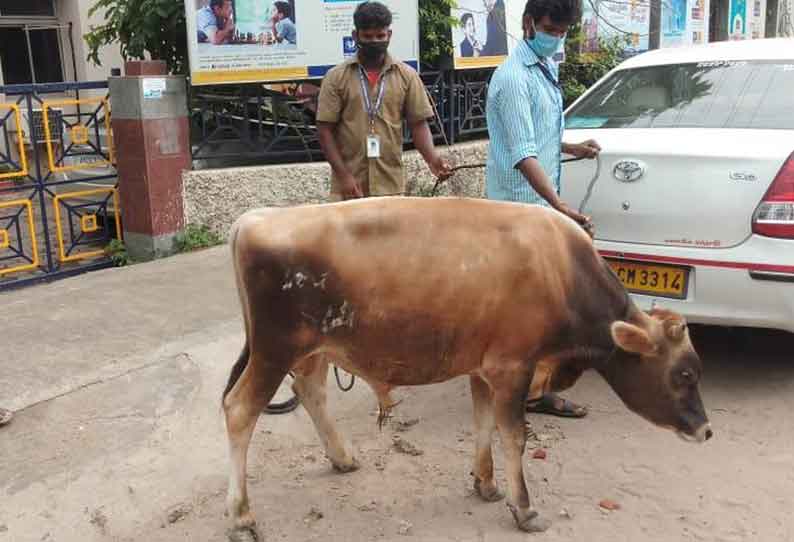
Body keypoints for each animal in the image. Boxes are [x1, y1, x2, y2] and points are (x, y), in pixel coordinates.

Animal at [220, 199, 708, 540]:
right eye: (684, 374)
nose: (705, 431)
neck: (560, 269)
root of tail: (254, 219)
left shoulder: (484, 367)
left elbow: (483, 423)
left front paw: (485, 483)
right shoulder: (514, 367)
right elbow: (514, 436)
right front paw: (524, 508)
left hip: (312, 350)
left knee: (310, 391)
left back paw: (342, 458)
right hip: (274, 351)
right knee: (239, 410)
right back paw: (241, 517)